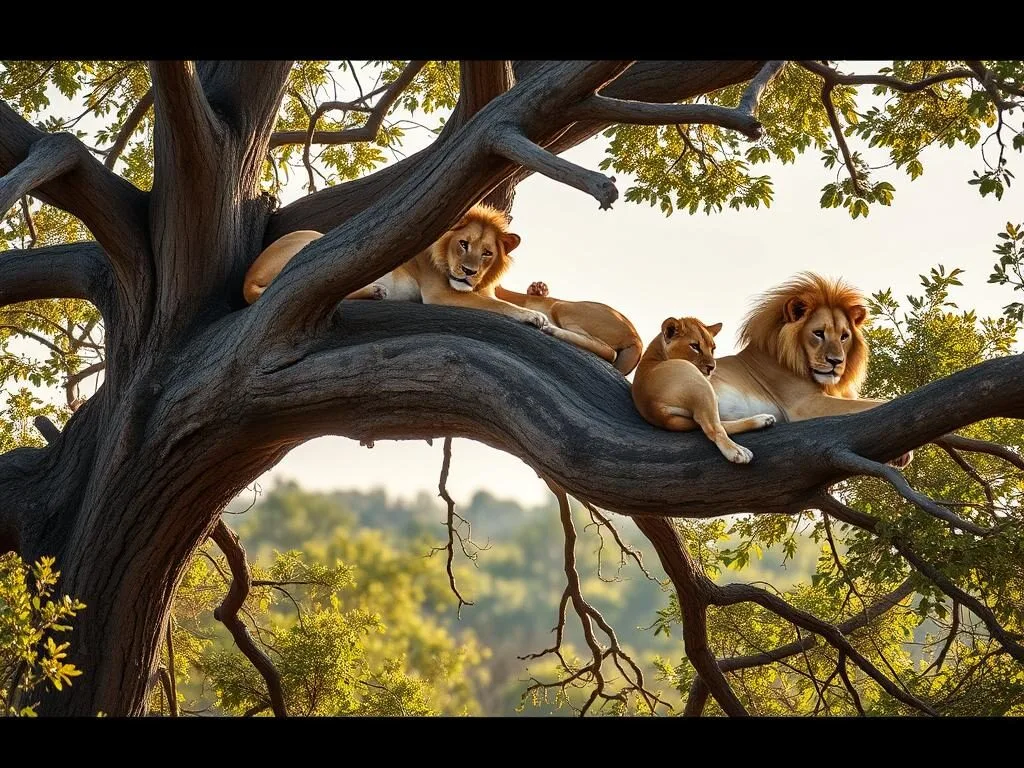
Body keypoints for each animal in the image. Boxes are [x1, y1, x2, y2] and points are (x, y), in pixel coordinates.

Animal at [242, 204, 550, 327]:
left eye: (487, 253)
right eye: (463, 244)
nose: (468, 272)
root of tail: (248, 278)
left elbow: (504, 297)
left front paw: (538, 290)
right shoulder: (440, 293)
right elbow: (499, 305)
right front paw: (533, 316)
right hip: (315, 240)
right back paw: (376, 291)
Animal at [632, 316, 776, 463]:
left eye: (713, 348)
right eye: (695, 346)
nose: (712, 367)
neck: (656, 353)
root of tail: (654, 408)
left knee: (712, 425)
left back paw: (764, 420)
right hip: (702, 388)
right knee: (713, 429)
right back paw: (737, 451)